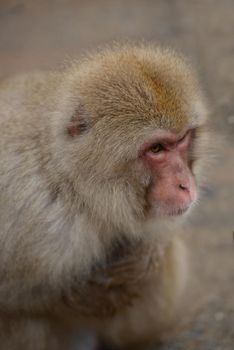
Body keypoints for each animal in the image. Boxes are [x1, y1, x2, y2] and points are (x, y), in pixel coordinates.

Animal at [0, 45, 208, 348]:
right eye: (156, 148)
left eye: (182, 140)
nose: (186, 185)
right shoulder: (40, 220)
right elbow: (16, 297)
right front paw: (81, 294)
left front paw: (148, 252)